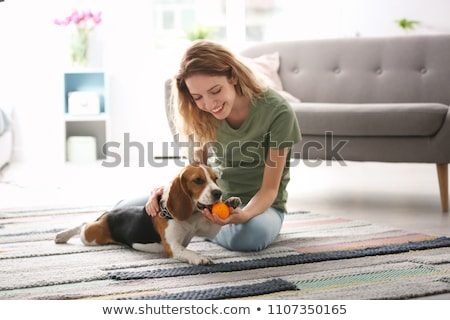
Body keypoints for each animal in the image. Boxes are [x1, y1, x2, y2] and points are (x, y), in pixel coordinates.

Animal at [55, 164, 241, 264]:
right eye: (198, 180)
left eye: (215, 179)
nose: (218, 193)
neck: (192, 216)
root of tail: (109, 214)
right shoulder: (173, 247)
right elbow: (188, 252)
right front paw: (199, 258)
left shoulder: (207, 230)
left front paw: (232, 202)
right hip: (91, 237)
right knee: (82, 225)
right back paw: (61, 235)